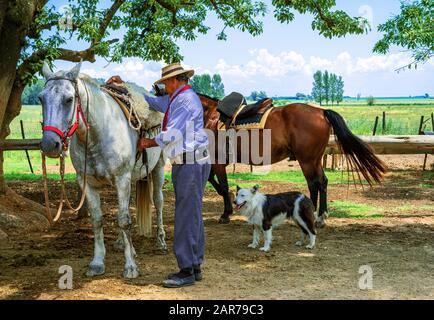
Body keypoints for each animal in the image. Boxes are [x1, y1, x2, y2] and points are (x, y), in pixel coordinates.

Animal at [40, 62, 166, 278]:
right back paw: (123, 244)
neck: (97, 135)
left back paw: (161, 241)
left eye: (69, 99)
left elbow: (123, 220)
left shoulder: (122, 179)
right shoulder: (88, 183)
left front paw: (130, 267)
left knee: (158, 202)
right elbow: (98, 220)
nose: (49, 144)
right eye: (41, 98)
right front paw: (97, 262)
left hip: (158, 167)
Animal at [198, 94, 386, 226]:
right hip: (315, 159)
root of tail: (321, 112)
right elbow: (213, 182)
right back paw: (321, 216)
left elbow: (222, 186)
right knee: (322, 182)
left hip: (307, 160)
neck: (210, 116)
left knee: (314, 184)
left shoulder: (217, 161)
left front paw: (225, 214)